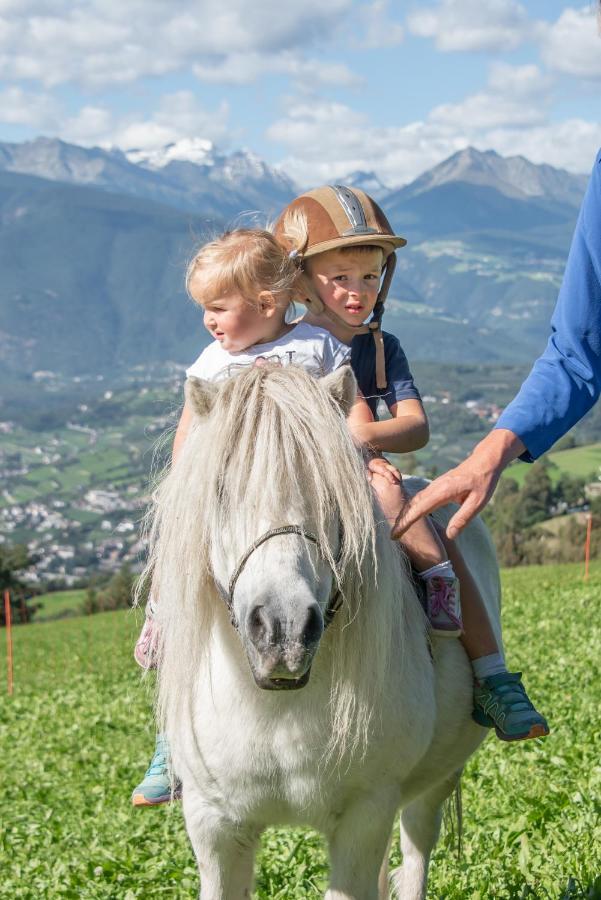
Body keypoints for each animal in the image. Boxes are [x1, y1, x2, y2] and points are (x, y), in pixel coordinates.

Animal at [148, 362, 500, 896]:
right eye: (221, 490)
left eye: (331, 491)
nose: (283, 629)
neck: (274, 708)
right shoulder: (214, 826)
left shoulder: (364, 814)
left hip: (434, 783)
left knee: (417, 850)